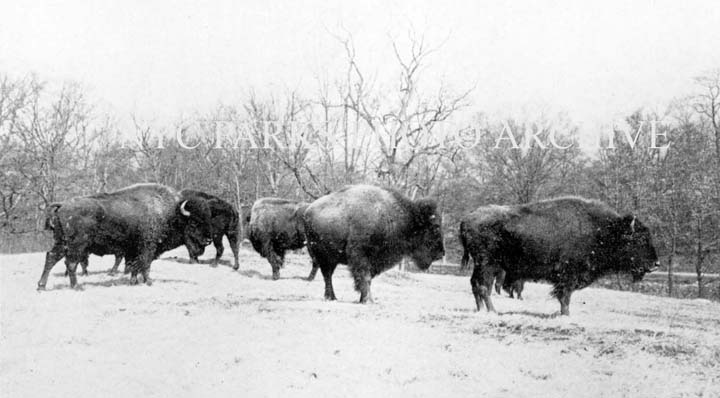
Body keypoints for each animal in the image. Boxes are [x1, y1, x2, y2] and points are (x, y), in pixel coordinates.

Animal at [38, 183, 214, 290]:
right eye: (194, 222)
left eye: (207, 218)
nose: (208, 240)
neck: (171, 213)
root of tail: (63, 205)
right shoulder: (148, 247)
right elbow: (145, 264)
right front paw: (149, 282)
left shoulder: (133, 250)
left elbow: (135, 266)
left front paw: (133, 282)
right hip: (77, 245)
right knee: (71, 263)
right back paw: (77, 287)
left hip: (61, 243)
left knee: (51, 257)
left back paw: (41, 286)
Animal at [300, 185, 444, 304]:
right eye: (435, 227)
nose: (441, 253)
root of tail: (307, 211)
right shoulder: (361, 256)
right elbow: (365, 277)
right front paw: (368, 300)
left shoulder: (374, 261)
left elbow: (368, 278)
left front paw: (363, 299)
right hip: (323, 256)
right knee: (327, 275)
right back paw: (331, 297)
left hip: (331, 258)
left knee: (328, 275)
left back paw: (332, 297)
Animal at [462, 199, 660, 318]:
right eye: (639, 239)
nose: (656, 263)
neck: (604, 231)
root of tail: (467, 219)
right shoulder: (568, 275)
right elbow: (565, 297)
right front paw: (566, 315)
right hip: (487, 265)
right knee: (483, 287)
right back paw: (492, 311)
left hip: (481, 266)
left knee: (475, 285)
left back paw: (481, 310)